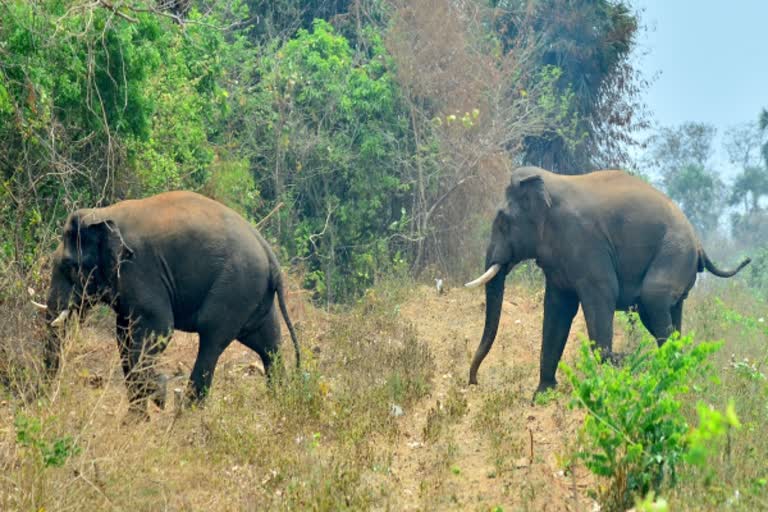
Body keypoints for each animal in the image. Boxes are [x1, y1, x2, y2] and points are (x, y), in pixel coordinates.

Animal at [36, 190, 300, 418]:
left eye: (69, 267)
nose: (43, 400)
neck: (102, 214)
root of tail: (271, 256)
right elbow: (124, 336)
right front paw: (137, 417)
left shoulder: (140, 270)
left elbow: (159, 328)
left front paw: (158, 394)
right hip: (256, 297)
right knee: (268, 344)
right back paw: (279, 403)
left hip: (236, 289)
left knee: (212, 340)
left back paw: (185, 417)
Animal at [462, 166, 752, 398]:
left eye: (502, 221)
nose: (474, 382)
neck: (548, 182)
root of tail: (700, 244)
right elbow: (557, 307)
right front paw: (541, 396)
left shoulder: (585, 241)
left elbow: (601, 295)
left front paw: (617, 365)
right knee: (669, 314)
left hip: (674, 254)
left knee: (652, 299)